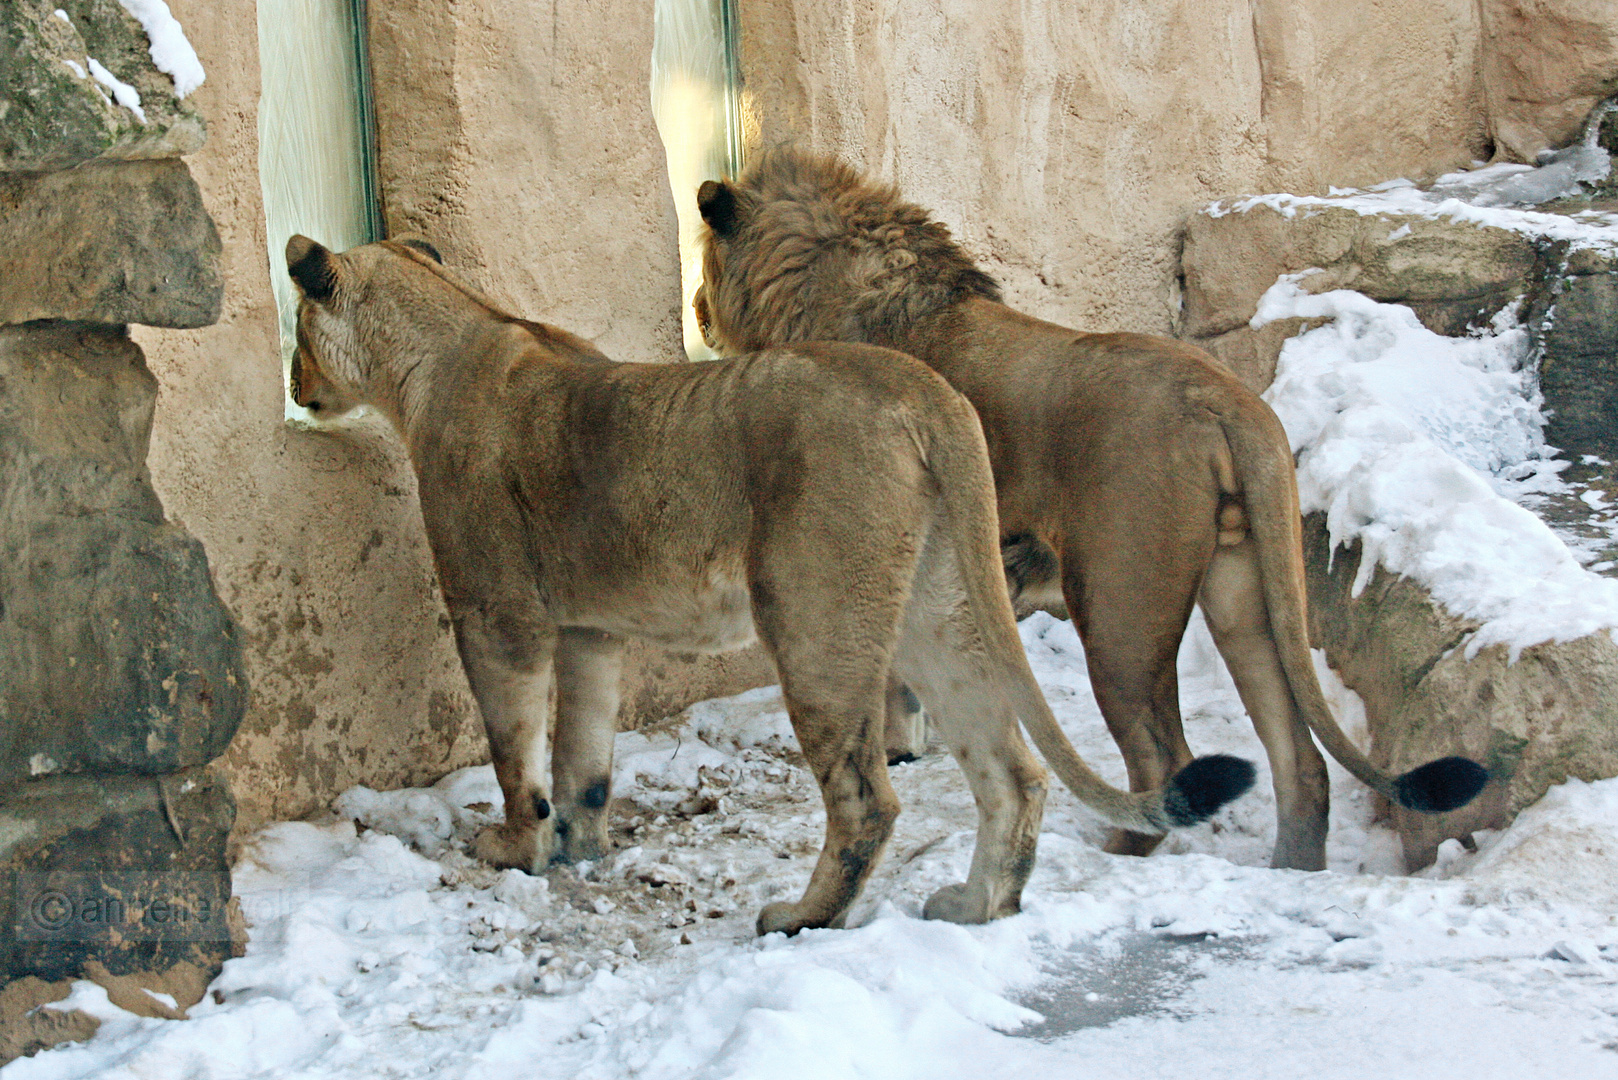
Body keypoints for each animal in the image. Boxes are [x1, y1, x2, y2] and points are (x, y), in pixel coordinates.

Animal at [281, 233, 1249, 932]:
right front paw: (582, 846)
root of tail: (923, 387)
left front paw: (516, 846)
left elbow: (517, 750)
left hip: (815, 619)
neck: (437, 349)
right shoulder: (591, 627)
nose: (293, 383)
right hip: (936, 609)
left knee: (868, 800)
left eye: (294, 333)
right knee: (1013, 772)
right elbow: (585, 755)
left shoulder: (497, 614)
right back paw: (979, 906)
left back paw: (801, 918)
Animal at [689, 149, 1482, 867]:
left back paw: (1119, 850)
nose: (695, 309)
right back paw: (1290, 867)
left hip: (1117, 608)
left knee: (1166, 760)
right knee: (1298, 758)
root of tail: (1226, 399)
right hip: (1243, 587)